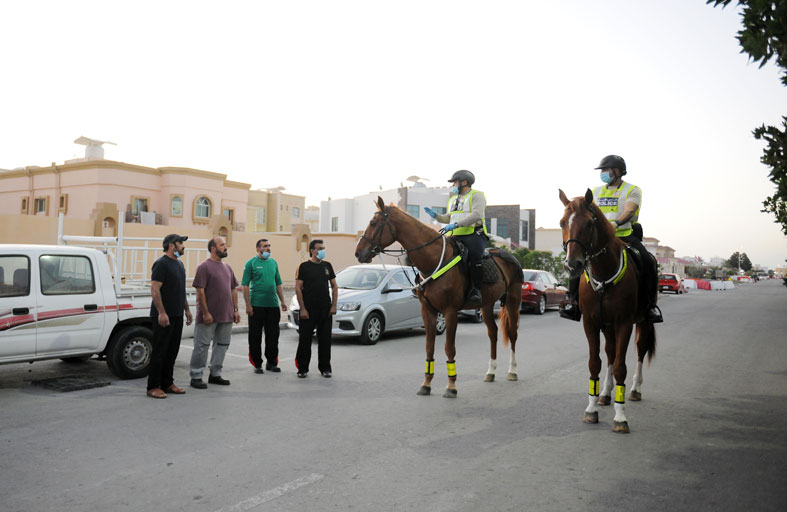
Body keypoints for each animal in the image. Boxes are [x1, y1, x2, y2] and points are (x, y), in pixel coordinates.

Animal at [356, 198, 524, 398]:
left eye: (374, 223)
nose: (358, 253)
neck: (435, 260)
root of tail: (508, 255)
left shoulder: (450, 312)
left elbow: (449, 348)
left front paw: (451, 386)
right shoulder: (427, 311)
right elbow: (429, 346)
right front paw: (426, 384)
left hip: (513, 301)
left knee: (512, 333)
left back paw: (513, 370)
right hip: (487, 304)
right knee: (493, 333)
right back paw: (491, 371)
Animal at [560, 188, 660, 432]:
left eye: (589, 224)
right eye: (562, 223)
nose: (573, 265)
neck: (604, 273)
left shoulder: (624, 323)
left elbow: (620, 367)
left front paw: (620, 417)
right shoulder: (591, 323)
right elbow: (595, 362)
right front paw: (592, 408)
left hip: (643, 321)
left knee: (640, 350)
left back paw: (634, 390)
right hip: (607, 326)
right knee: (610, 352)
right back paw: (605, 393)